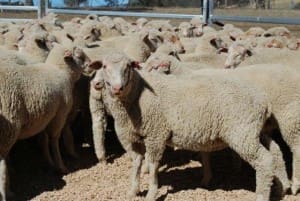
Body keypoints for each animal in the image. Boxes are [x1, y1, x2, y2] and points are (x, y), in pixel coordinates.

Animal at [0, 43, 92, 199]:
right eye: (80, 56)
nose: (92, 65)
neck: (60, 71)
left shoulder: (44, 116)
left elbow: (43, 139)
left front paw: (48, 161)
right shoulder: (59, 114)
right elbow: (54, 139)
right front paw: (60, 165)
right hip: (8, 130)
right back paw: (7, 191)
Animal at [88, 51, 278, 201]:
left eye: (128, 66)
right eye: (104, 66)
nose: (117, 87)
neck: (137, 95)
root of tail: (263, 101)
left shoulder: (156, 133)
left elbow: (153, 165)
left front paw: (151, 194)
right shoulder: (131, 137)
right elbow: (136, 163)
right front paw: (133, 191)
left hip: (242, 133)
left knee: (265, 160)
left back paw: (262, 195)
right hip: (254, 131)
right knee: (275, 153)